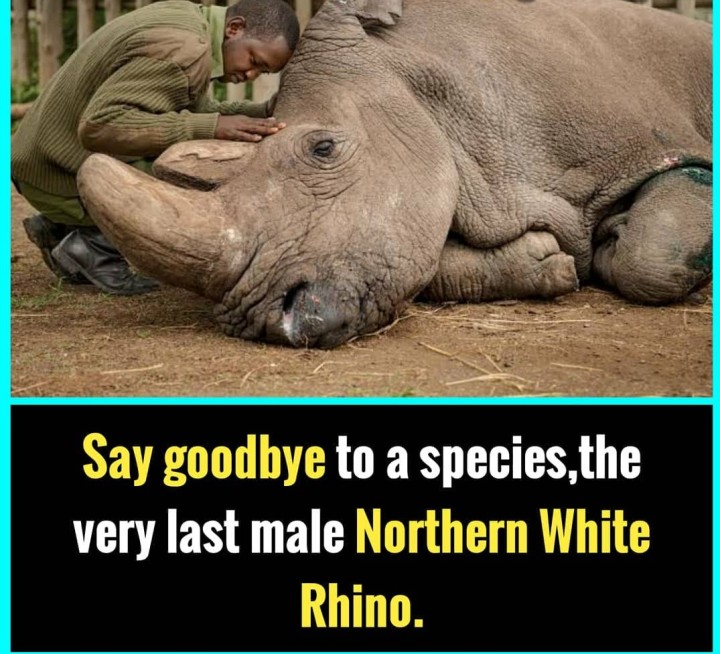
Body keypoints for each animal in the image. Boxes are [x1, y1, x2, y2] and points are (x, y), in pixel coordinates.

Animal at [77, 0, 712, 349]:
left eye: (325, 148)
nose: (264, 320)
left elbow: (653, 255)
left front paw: (612, 241)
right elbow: (424, 262)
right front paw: (549, 262)